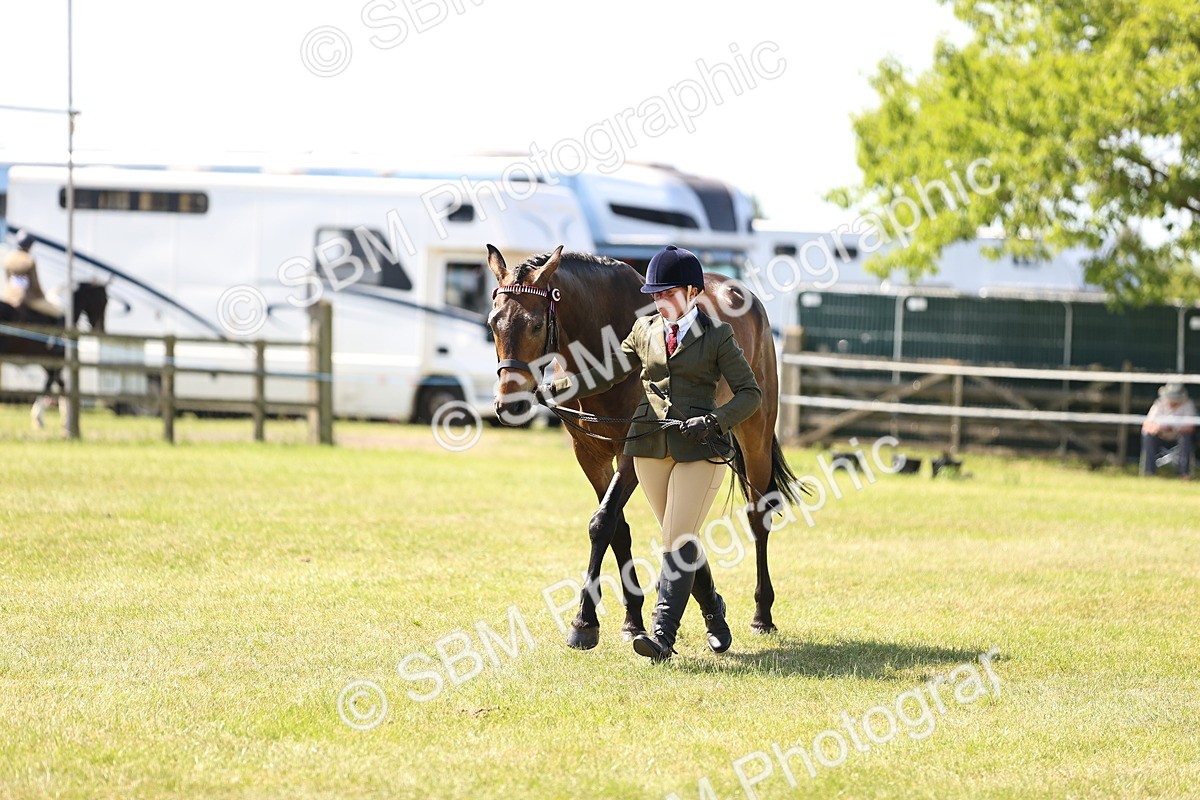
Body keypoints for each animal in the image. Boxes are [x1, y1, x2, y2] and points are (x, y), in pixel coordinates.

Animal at [0, 282, 110, 428]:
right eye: (104, 301)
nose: (101, 329)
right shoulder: (57, 360)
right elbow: (52, 384)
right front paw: (42, 418)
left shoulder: (49, 361)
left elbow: (57, 384)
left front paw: (64, 417)